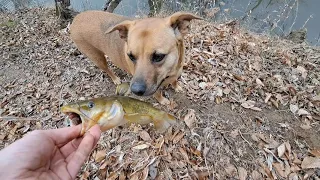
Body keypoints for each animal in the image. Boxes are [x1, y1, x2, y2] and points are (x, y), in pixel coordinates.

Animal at [70, 10, 202, 104]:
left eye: (158, 56)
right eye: (131, 56)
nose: (135, 91)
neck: (171, 71)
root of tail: (76, 19)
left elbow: (174, 81)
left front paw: (177, 87)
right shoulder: (155, 90)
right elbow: (158, 94)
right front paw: (163, 101)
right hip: (97, 58)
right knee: (106, 69)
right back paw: (115, 78)